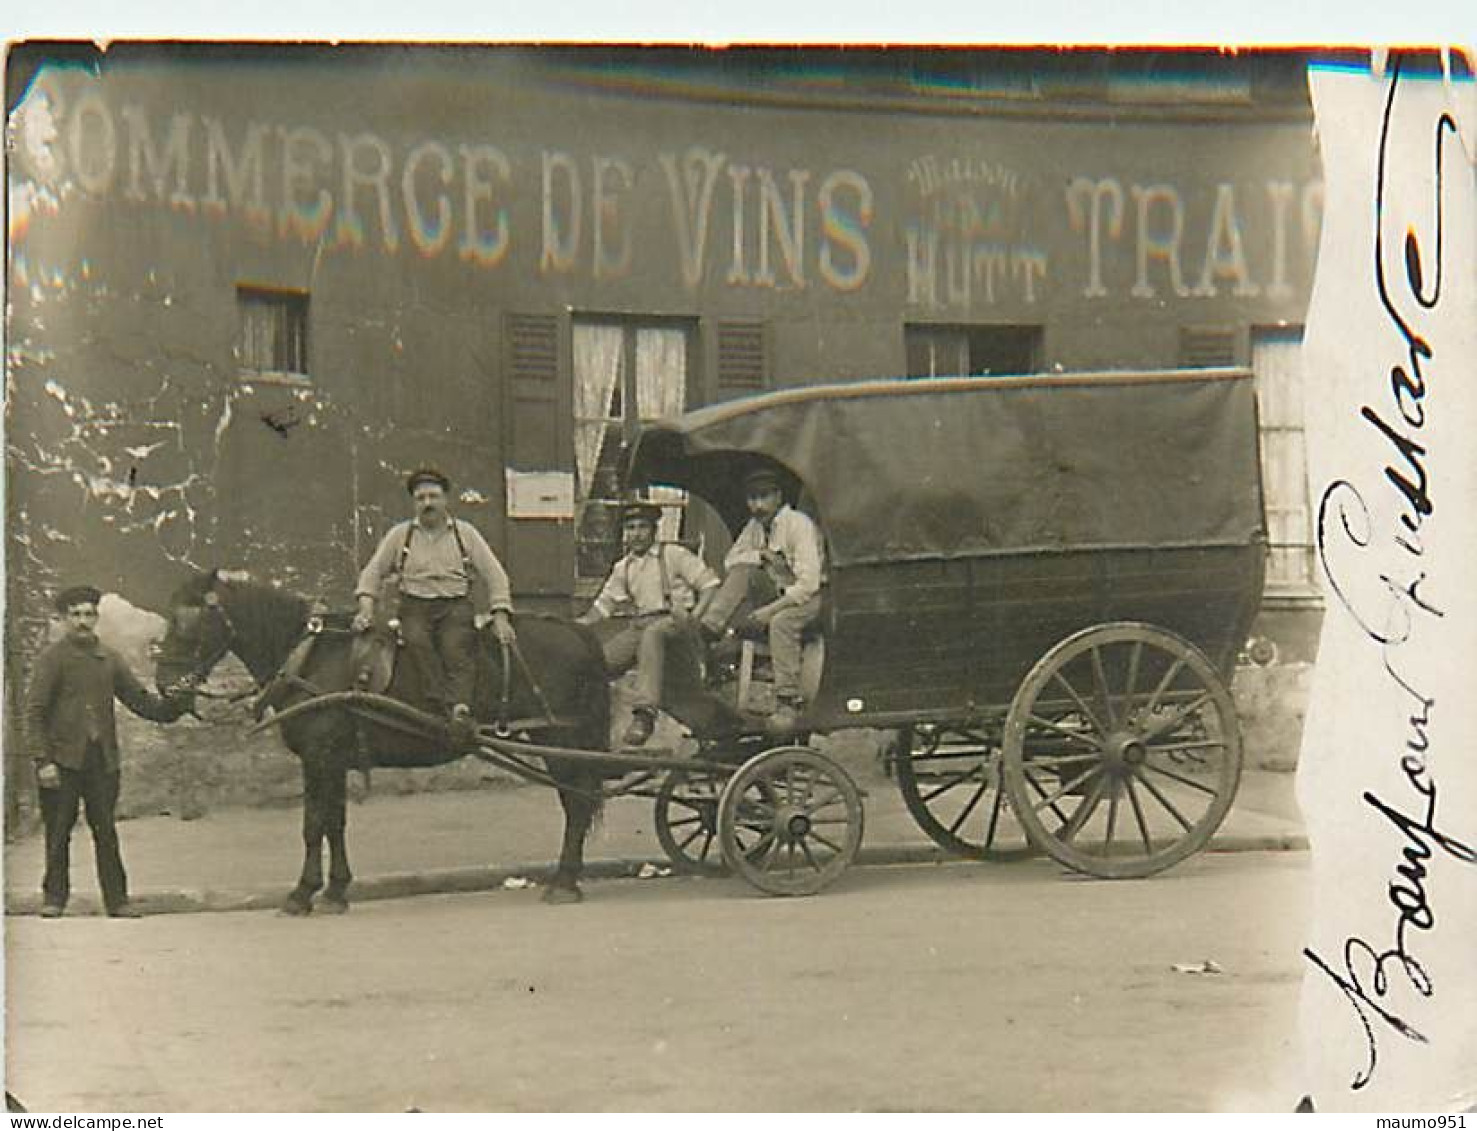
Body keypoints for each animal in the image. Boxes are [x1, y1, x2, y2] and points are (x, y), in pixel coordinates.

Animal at [151, 572, 611, 915]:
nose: (165, 685)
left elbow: (313, 825)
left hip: (561, 736)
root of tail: (575, 630)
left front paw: (302, 893)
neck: (310, 657)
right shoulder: (331, 760)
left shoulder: (319, 756)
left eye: (187, 620)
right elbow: (334, 823)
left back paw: (564, 881)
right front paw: (335, 891)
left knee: (577, 804)